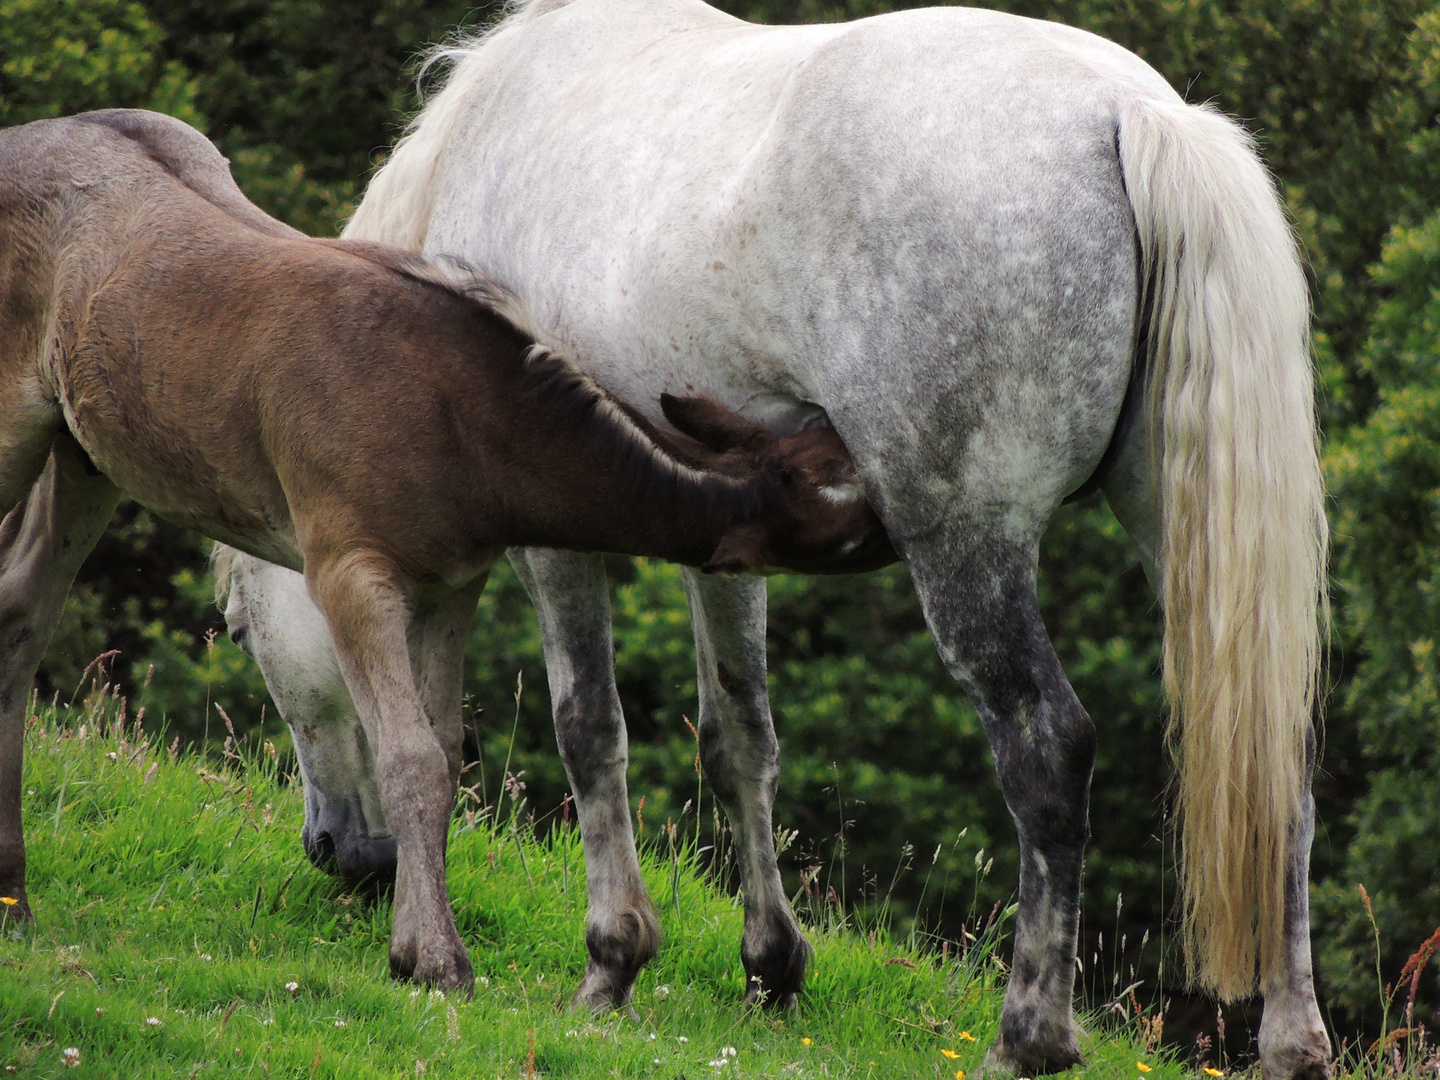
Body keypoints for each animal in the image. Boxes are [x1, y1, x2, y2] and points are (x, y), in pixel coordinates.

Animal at [0, 110, 887, 996]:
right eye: (848, 519)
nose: (902, 513)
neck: (461, 413)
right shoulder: (348, 570)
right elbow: (410, 758)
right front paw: (436, 959)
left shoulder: (449, 583)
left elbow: (446, 752)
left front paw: (406, 945)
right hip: (19, 429)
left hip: (85, 456)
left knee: (22, 611)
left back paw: (16, 896)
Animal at [210, 4, 1324, 1077]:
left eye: (239, 626)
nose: (340, 852)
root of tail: (1131, 113)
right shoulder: (727, 532)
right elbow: (740, 734)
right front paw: (771, 966)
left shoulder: (558, 547)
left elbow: (589, 730)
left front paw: (611, 964)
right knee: (1278, 776)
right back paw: (1291, 1044)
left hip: (966, 550)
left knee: (1046, 749)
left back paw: (1028, 1037)